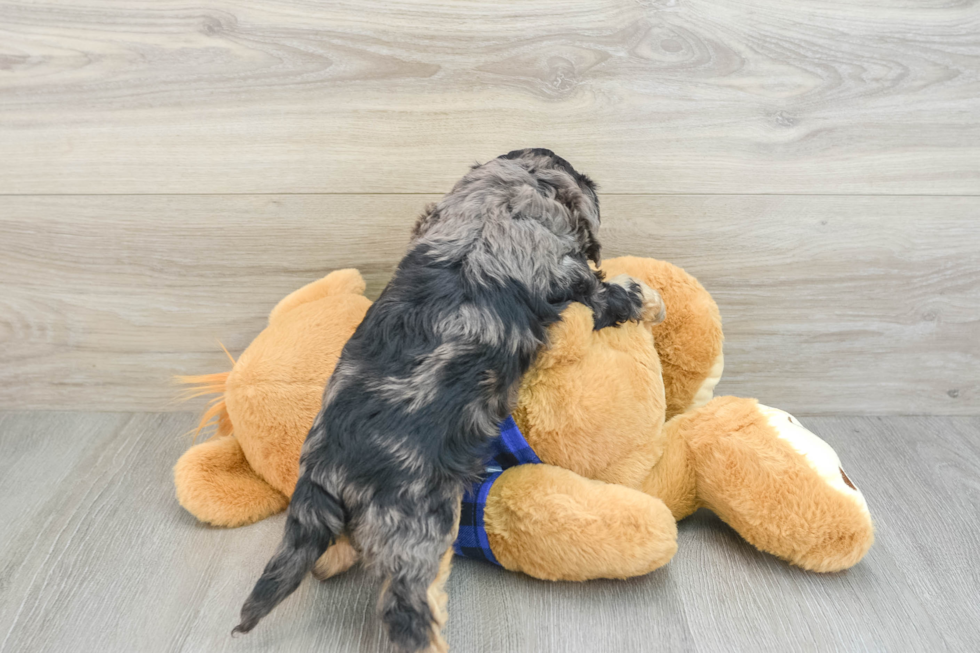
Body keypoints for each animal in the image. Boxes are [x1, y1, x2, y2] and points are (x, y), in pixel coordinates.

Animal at [232, 149, 668, 652]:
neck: (489, 210)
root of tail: (328, 469)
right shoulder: (573, 283)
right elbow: (616, 293)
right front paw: (653, 299)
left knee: (336, 547)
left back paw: (328, 563)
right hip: (420, 523)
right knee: (408, 605)